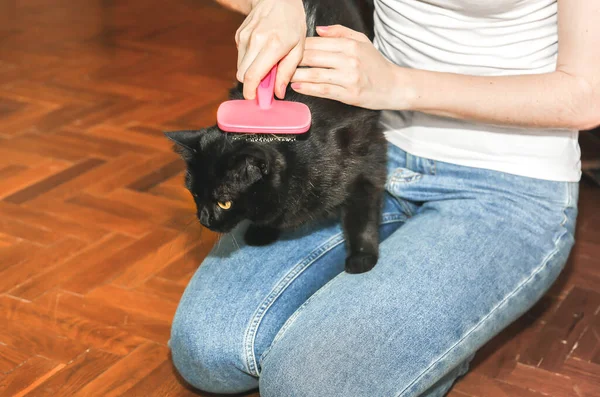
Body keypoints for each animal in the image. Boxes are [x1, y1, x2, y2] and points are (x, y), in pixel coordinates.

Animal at [166, 0, 386, 272]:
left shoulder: (368, 162)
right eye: (195, 194)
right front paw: (261, 232)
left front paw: (362, 257)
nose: (204, 219)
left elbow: (362, 214)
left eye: (224, 203)